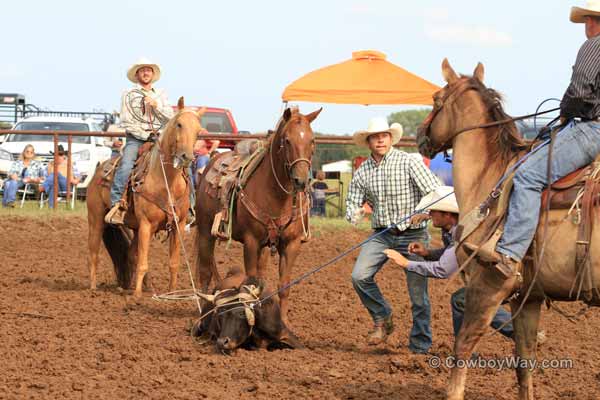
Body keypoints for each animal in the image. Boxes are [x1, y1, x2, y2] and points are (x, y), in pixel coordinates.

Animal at [87, 97, 204, 296]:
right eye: (179, 124)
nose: (186, 157)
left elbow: (173, 263)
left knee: (130, 254)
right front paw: (137, 295)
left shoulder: (178, 225)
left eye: (198, 129)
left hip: (134, 227)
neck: (166, 182)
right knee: (94, 253)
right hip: (96, 220)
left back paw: (134, 287)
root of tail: (98, 169)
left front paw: (171, 293)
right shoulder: (146, 224)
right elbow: (143, 262)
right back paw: (93, 287)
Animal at [195, 106, 322, 328]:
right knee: (205, 272)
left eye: (312, 140)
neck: (276, 196)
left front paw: (284, 323)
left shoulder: (291, 244)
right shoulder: (251, 242)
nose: (301, 180)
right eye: (287, 140)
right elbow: (248, 284)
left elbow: (284, 285)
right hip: (205, 231)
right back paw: (202, 317)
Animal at [418, 59, 600, 400]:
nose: (421, 135)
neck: (490, 176)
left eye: (436, 98)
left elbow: (462, 348)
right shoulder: (526, 298)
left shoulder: (487, 286)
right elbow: (524, 362)